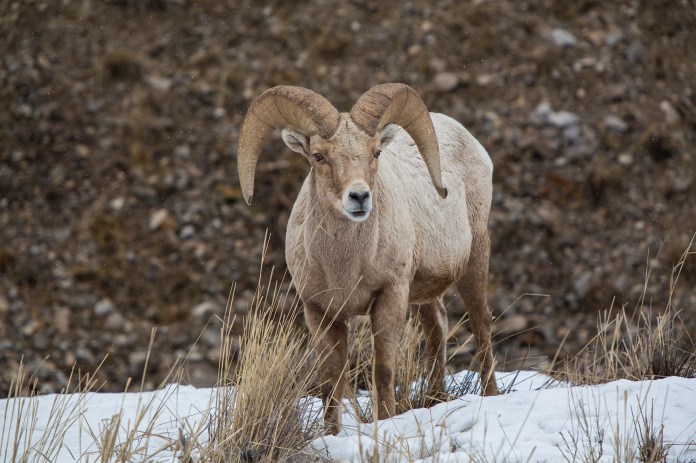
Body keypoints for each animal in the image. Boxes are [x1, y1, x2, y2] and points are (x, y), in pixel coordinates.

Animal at [236, 83, 499, 435]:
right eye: (318, 156)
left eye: (375, 153)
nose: (359, 197)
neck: (345, 267)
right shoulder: (320, 312)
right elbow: (330, 381)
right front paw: (331, 435)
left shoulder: (389, 298)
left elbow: (383, 371)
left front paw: (384, 424)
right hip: (422, 293)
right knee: (437, 329)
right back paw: (435, 399)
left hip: (474, 259)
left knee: (482, 325)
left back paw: (491, 396)